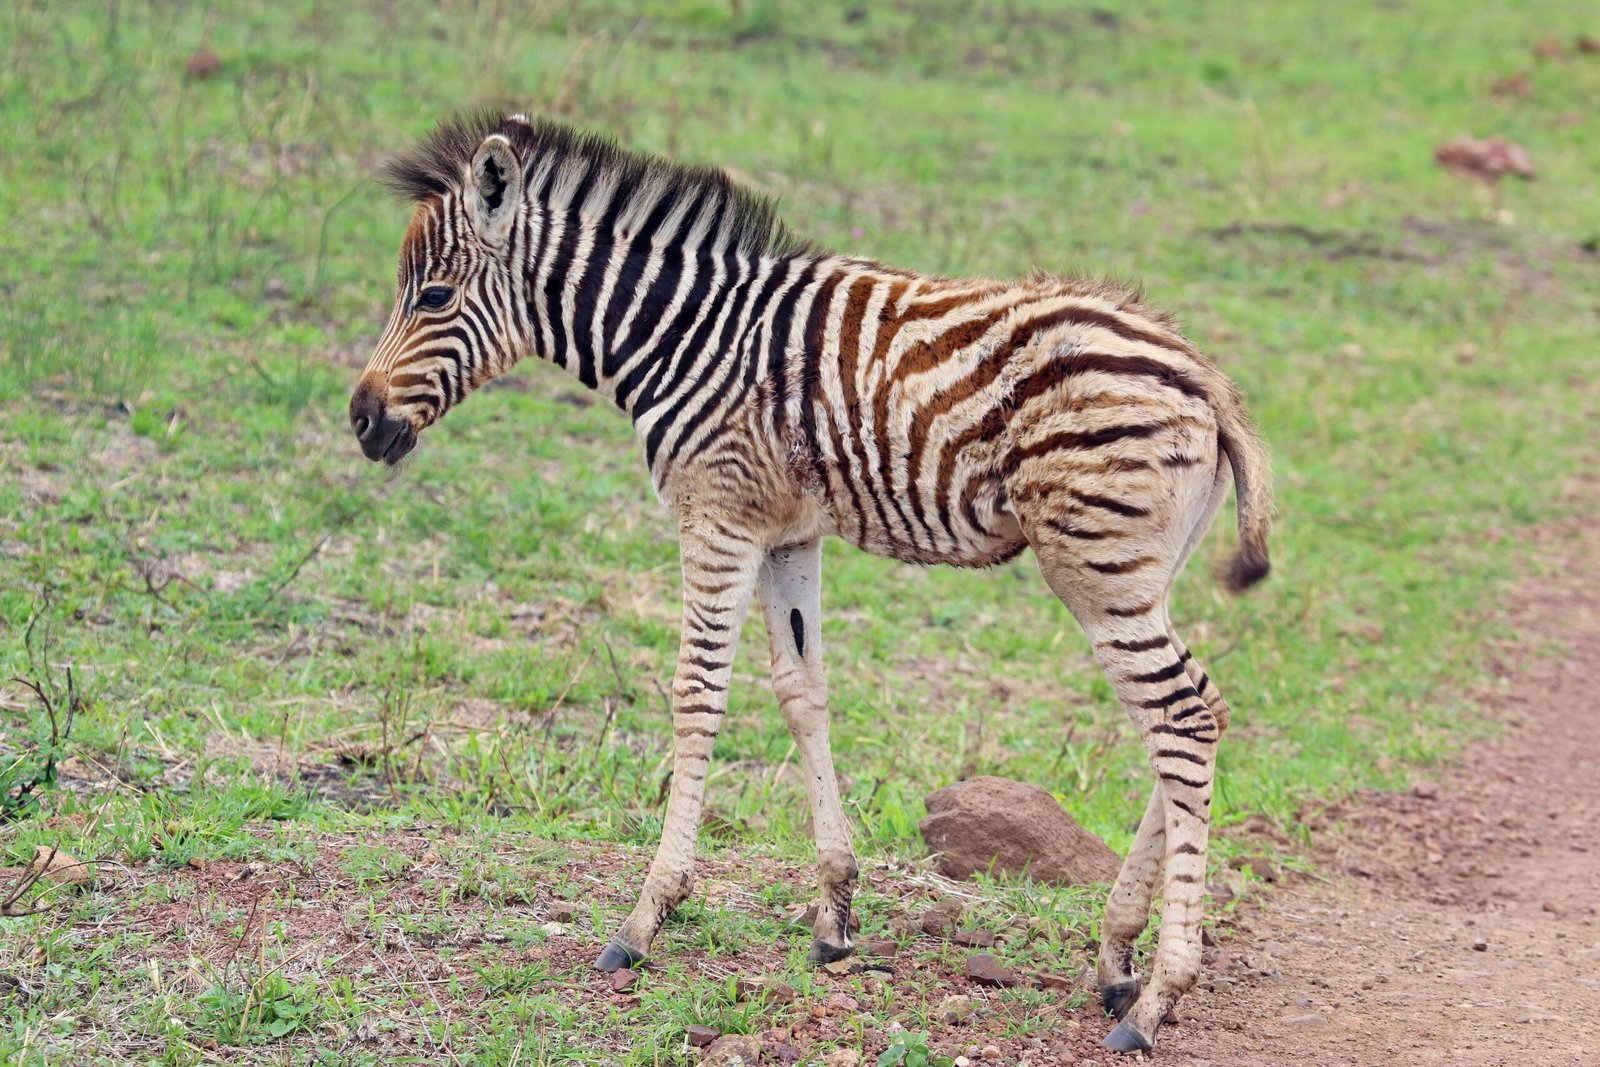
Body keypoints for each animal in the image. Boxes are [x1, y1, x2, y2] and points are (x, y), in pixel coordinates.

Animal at [349, 109, 1273, 1055]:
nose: (361, 420)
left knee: (1181, 719)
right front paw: (834, 911)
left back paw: (1158, 995)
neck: (683, 336)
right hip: (1141, 570)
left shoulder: (717, 513)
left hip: (1096, 563)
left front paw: (646, 917)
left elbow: (696, 694)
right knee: (1194, 715)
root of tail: (1204, 376)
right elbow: (803, 692)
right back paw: (1117, 958)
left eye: (432, 298)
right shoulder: (787, 533)